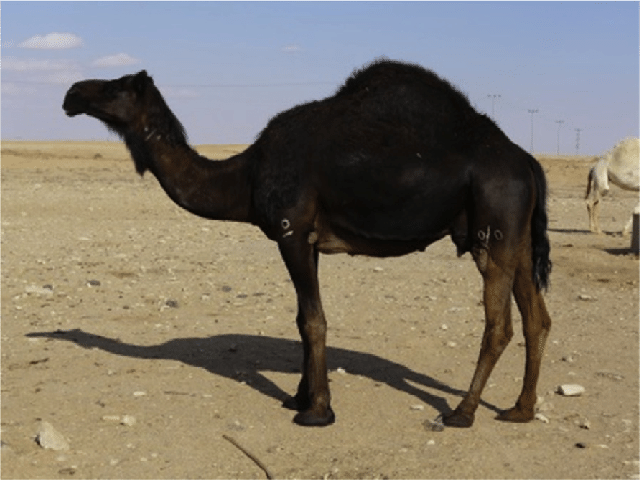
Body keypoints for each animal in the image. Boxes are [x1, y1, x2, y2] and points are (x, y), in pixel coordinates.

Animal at [63, 59, 552, 429]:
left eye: (116, 86)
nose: (71, 94)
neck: (244, 175)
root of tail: (526, 161)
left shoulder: (291, 230)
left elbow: (314, 321)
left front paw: (317, 411)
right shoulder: (311, 241)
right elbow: (302, 318)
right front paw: (299, 397)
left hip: (494, 223)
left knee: (499, 324)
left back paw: (462, 412)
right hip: (518, 235)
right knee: (538, 319)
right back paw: (520, 409)